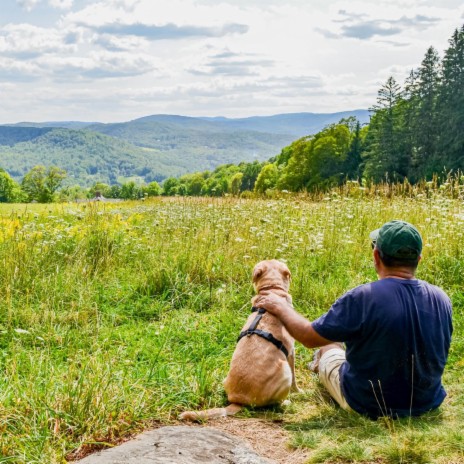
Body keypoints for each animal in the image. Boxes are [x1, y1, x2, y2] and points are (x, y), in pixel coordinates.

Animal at [179, 260, 298, 422]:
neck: (272, 290)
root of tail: (239, 400)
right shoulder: (291, 352)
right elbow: (295, 379)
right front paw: (298, 392)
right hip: (284, 371)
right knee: (276, 402)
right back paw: (285, 402)